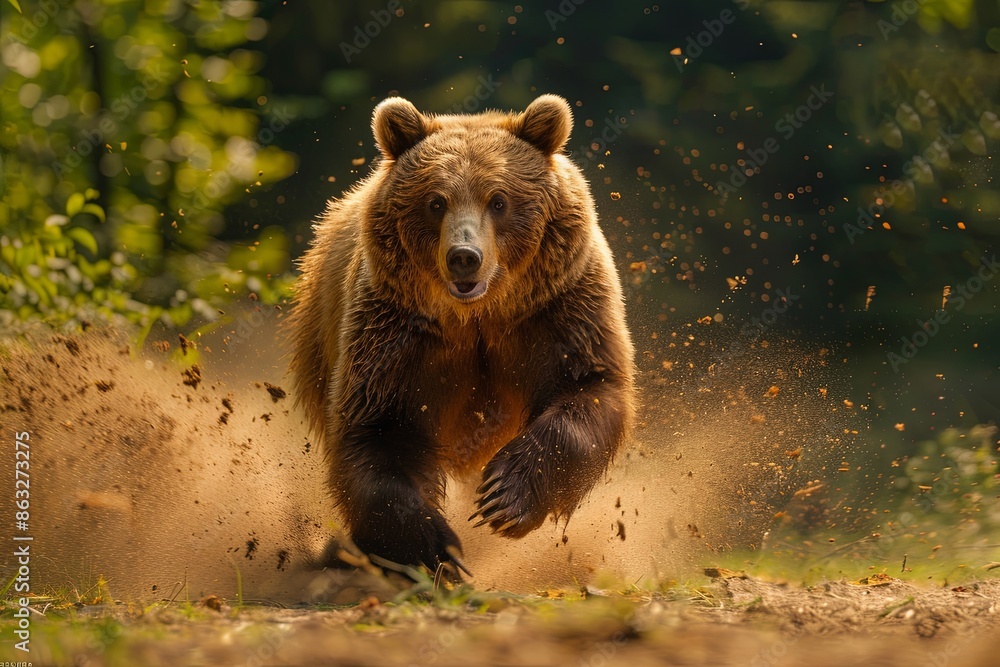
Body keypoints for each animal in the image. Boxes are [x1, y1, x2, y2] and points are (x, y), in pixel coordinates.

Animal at [288, 94, 635, 574]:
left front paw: (505, 496)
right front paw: (435, 548)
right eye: (436, 202)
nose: (464, 257)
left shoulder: (557, 309)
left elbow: (588, 388)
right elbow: (377, 431)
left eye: (498, 200)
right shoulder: (396, 335)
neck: (477, 316)